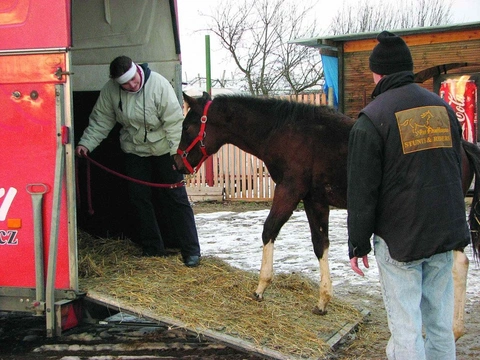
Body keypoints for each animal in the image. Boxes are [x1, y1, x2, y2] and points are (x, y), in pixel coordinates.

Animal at [173, 90, 480, 340]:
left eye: (187, 126)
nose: (177, 163)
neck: (283, 132)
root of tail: (463, 146)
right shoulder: (314, 200)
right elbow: (320, 244)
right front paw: (323, 301)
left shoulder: (289, 191)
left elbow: (269, 230)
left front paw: (261, 287)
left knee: (458, 264)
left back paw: (453, 330)